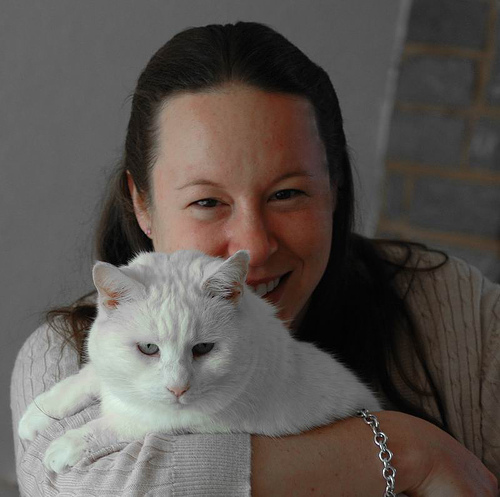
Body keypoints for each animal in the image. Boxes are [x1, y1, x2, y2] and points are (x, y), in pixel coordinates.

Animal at [19, 249, 382, 474]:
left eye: (204, 348)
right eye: (148, 348)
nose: (178, 389)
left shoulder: (190, 420)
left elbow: (120, 423)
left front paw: (67, 445)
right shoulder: (107, 366)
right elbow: (87, 376)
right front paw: (38, 413)